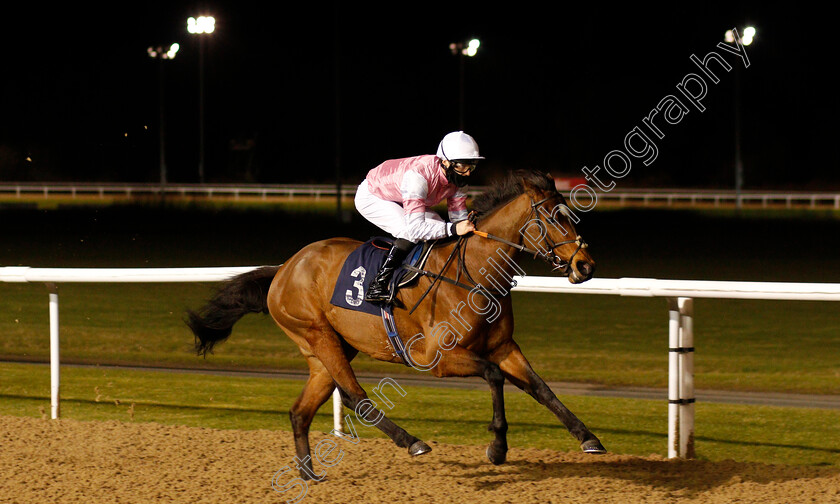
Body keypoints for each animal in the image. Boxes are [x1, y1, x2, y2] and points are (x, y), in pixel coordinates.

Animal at [185, 168, 604, 476]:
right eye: (555, 217)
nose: (586, 266)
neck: (473, 273)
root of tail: (284, 268)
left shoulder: (503, 346)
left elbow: (541, 388)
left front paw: (588, 438)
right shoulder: (438, 358)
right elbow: (494, 376)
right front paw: (497, 447)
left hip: (329, 347)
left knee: (301, 410)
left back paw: (308, 474)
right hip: (317, 334)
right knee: (356, 397)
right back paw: (412, 441)